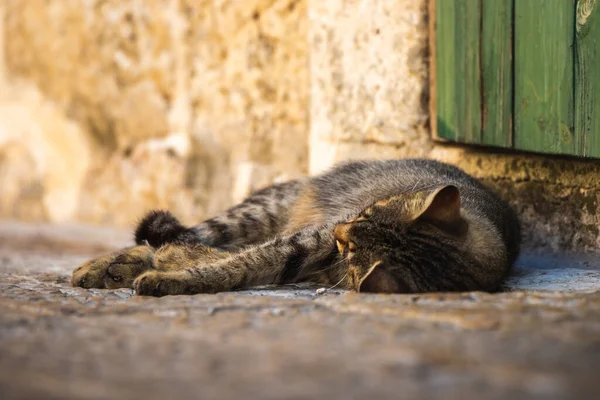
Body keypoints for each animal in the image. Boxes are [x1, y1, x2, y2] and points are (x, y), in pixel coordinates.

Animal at [70, 158, 520, 296]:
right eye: (365, 213)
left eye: (352, 251)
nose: (339, 235)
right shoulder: (311, 238)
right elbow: (246, 260)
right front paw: (172, 271)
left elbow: (237, 266)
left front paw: (175, 276)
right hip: (253, 216)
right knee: (185, 237)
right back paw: (106, 266)